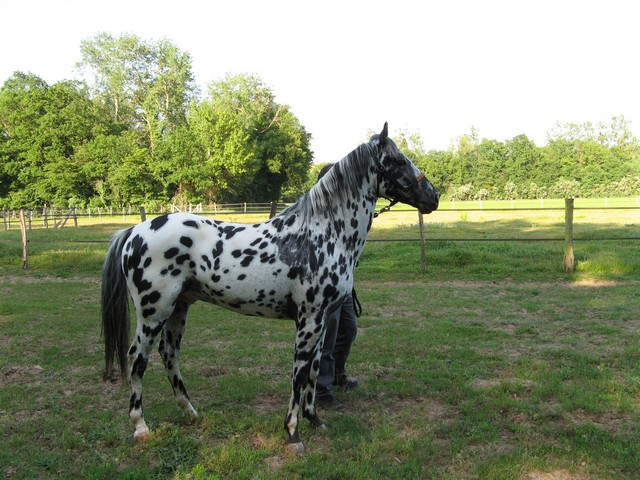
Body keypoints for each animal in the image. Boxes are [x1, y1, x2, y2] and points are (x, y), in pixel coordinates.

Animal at [101, 122, 439, 453]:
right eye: (397, 160)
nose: (433, 196)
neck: (322, 234)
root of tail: (135, 231)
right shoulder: (309, 320)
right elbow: (299, 374)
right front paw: (292, 433)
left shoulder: (321, 321)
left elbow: (314, 370)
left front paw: (315, 419)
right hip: (153, 313)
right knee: (137, 359)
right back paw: (141, 427)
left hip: (179, 308)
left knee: (169, 354)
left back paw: (191, 413)